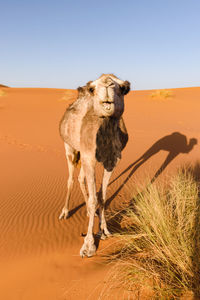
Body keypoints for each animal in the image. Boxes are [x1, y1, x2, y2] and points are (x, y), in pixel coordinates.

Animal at [58, 74, 130, 256]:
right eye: (92, 89)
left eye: (123, 88)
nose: (107, 83)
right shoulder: (89, 157)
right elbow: (93, 199)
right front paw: (88, 245)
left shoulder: (112, 161)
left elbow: (101, 196)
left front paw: (104, 231)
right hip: (69, 146)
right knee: (71, 178)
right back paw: (65, 212)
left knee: (81, 178)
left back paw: (92, 213)